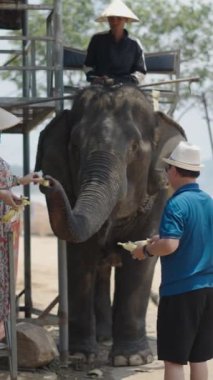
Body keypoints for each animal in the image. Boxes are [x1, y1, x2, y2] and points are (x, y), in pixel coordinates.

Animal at [34, 83, 185, 366]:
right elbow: (79, 256)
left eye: (135, 147)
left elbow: (143, 256)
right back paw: (103, 336)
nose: (46, 181)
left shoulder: (160, 195)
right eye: (74, 146)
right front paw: (79, 355)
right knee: (100, 270)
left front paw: (131, 359)